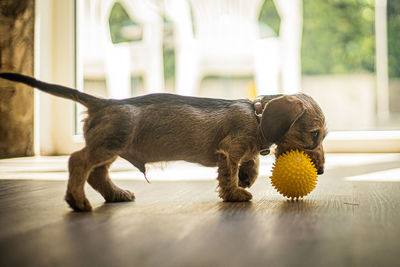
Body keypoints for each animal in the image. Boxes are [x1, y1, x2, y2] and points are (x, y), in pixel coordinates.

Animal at [0, 73, 328, 211]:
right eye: (314, 134)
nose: (322, 172)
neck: (256, 113)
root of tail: (103, 102)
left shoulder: (242, 150)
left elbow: (252, 162)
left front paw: (246, 177)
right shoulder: (230, 150)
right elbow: (229, 173)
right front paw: (235, 193)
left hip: (111, 147)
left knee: (97, 174)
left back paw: (116, 194)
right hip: (109, 143)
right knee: (77, 161)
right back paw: (78, 201)